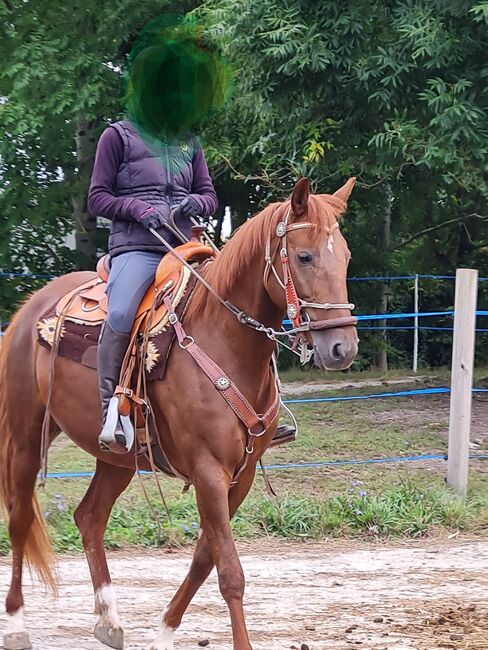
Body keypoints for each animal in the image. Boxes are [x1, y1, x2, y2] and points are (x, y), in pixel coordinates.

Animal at [0, 175, 358, 644]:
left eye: (346, 257)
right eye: (304, 256)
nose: (342, 348)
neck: (222, 338)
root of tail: (30, 309)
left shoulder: (240, 475)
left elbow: (206, 557)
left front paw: (164, 633)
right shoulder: (208, 471)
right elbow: (230, 572)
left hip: (119, 456)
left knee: (89, 517)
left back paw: (109, 620)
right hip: (26, 436)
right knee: (21, 518)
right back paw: (17, 623)